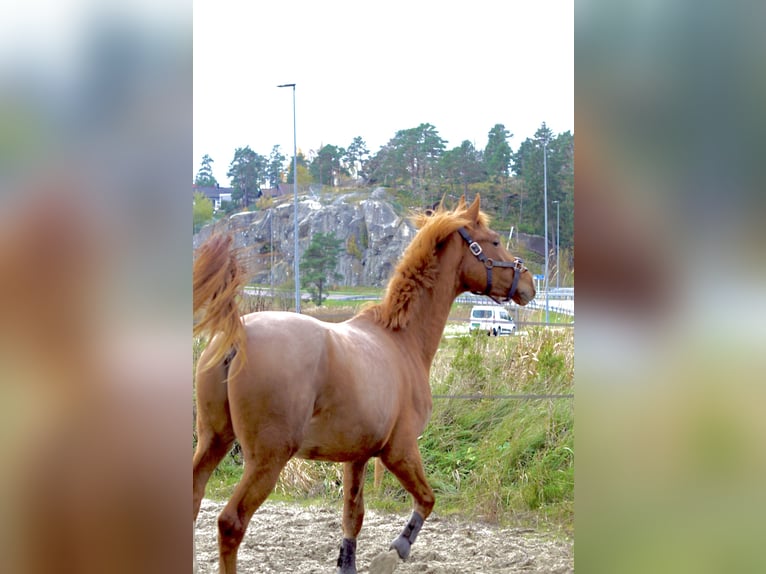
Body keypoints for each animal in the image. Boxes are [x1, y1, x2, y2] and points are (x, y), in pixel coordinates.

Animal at [192, 194, 535, 574]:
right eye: (495, 241)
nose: (529, 284)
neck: (401, 341)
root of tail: (238, 334)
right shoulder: (400, 451)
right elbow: (427, 499)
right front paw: (396, 550)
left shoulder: (356, 457)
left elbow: (352, 517)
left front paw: (349, 563)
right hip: (266, 458)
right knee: (231, 522)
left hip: (214, 440)